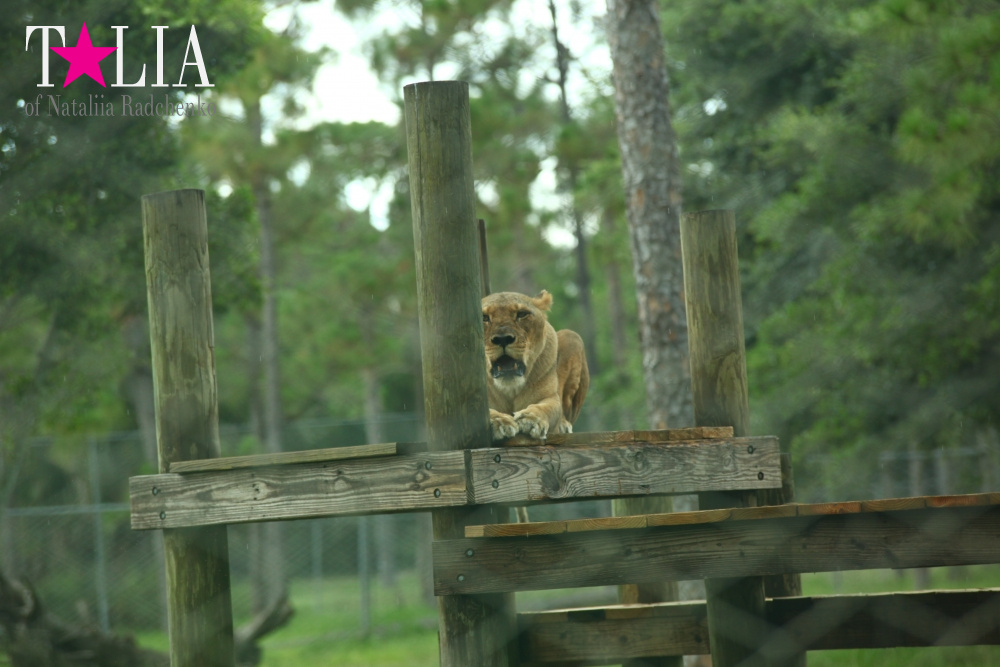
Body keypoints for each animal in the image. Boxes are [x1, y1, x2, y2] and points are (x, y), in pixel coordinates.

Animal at [482, 290, 589, 442]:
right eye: (484, 317)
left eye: (521, 314)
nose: (503, 339)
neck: (510, 388)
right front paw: (500, 421)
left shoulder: (550, 397)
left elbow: (546, 408)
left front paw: (531, 419)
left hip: (572, 337)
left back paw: (563, 425)